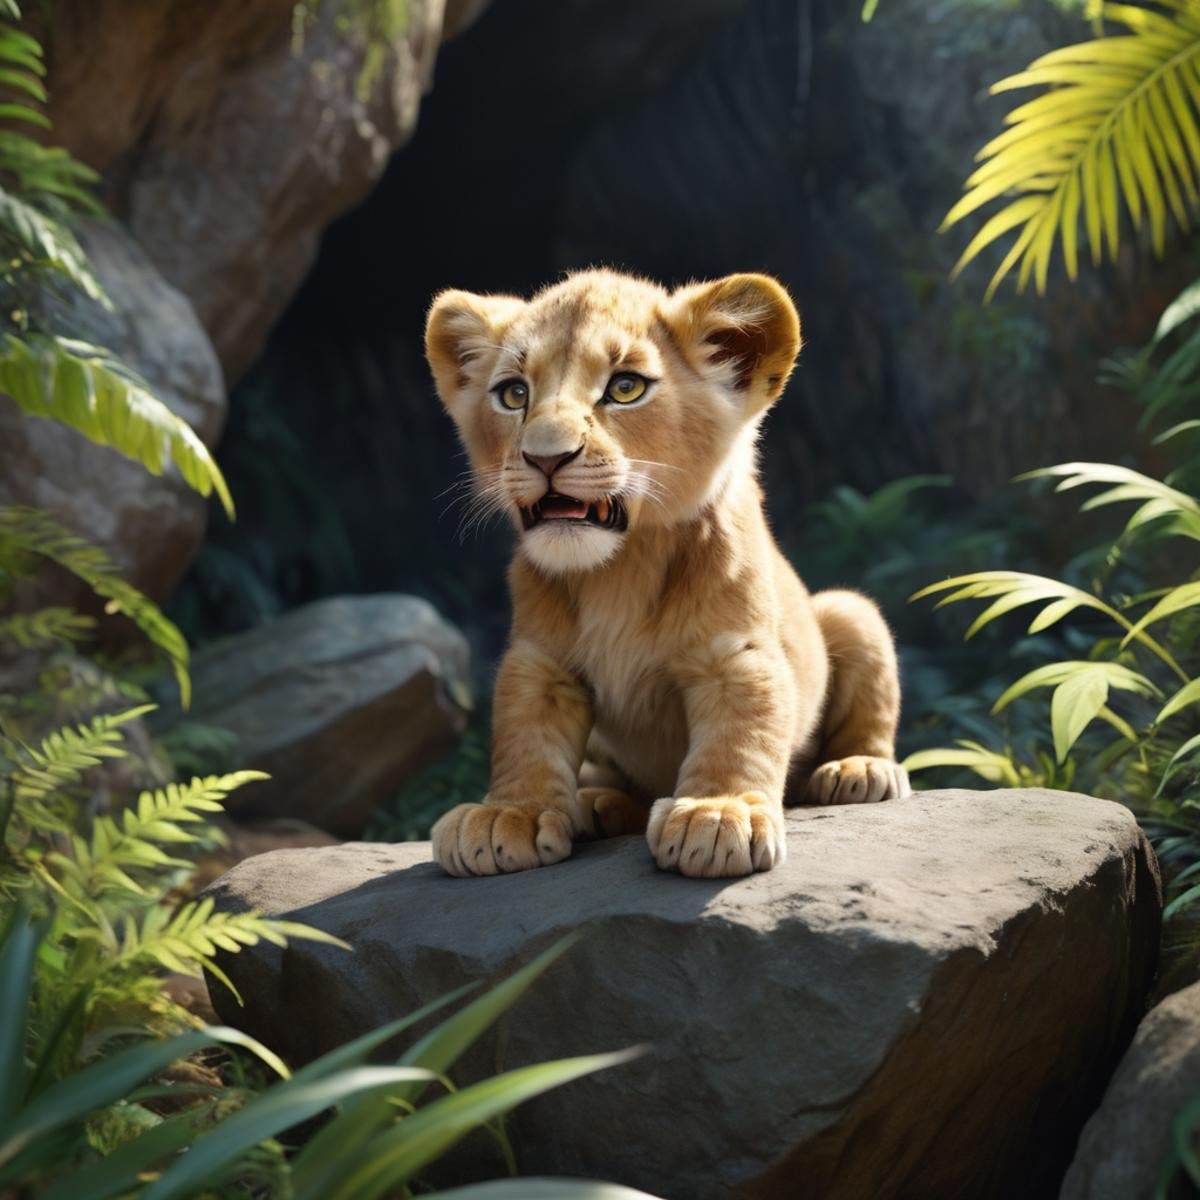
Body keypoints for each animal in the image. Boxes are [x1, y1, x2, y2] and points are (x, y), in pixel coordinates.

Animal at [424, 269, 909, 879]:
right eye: (514, 394)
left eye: (626, 387)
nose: (545, 457)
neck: (618, 571)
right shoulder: (539, 662)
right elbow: (524, 734)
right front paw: (507, 814)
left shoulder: (736, 654)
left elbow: (741, 731)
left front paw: (718, 814)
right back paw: (595, 803)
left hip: (849, 610)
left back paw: (859, 770)